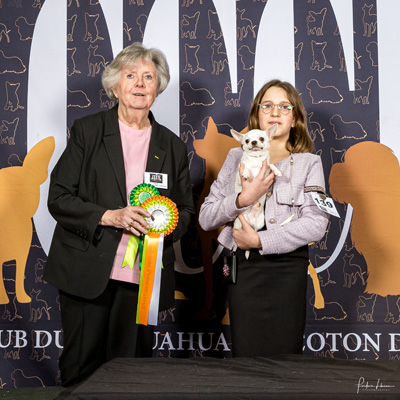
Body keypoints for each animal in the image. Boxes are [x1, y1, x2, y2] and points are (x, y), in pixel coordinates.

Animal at [231, 125, 282, 254]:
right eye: (247, 141)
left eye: (261, 139)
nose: (253, 142)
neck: (256, 159)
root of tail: (250, 222)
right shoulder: (239, 177)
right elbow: (247, 168)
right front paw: (247, 173)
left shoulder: (266, 167)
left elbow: (270, 164)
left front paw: (277, 171)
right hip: (239, 225)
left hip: (260, 222)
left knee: (256, 231)